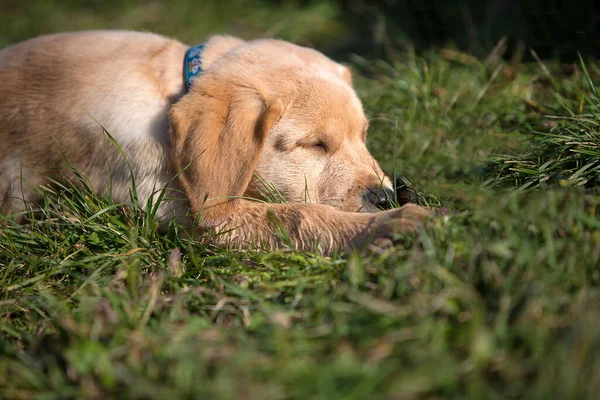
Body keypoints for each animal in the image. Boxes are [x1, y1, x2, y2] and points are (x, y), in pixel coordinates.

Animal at [0, 30, 432, 253]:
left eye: (363, 137)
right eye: (314, 145)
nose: (383, 198)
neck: (174, 89)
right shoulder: (202, 215)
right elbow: (298, 216)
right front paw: (390, 223)